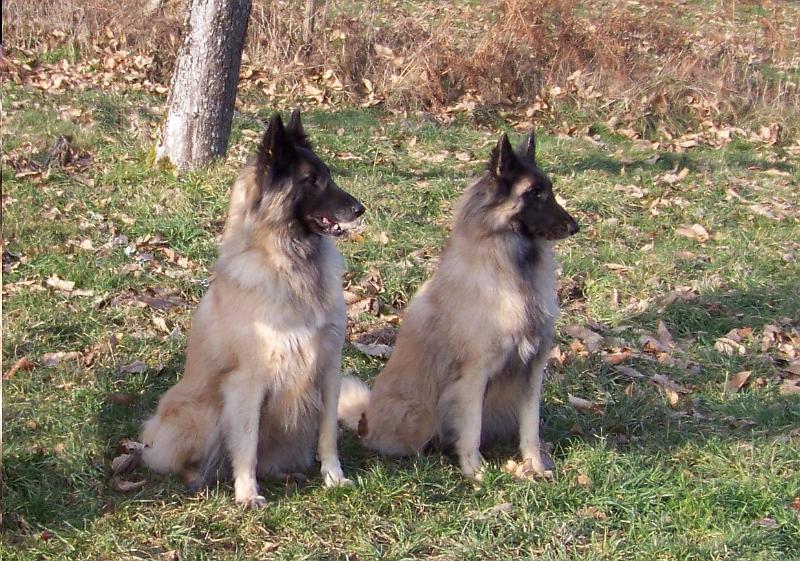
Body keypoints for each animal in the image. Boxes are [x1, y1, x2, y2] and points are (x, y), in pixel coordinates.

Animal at [141, 107, 366, 506]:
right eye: (312, 181)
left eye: (329, 176)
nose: (360, 209)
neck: (291, 264)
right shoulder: (248, 381)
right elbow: (246, 441)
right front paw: (247, 494)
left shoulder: (328, 369)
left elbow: (328, 434)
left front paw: (333, 477)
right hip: (204, 411)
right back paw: (200, 478)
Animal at [338, 130, 576, 476]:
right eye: (535, 193)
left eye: (550, 191)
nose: (575, 227)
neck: (514, 269)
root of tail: (365, 418)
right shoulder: (474, 375)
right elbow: (471, 429)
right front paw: (475, 472)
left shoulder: (532, 370)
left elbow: (530, 428)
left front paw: (535, 466)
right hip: (421, 414)